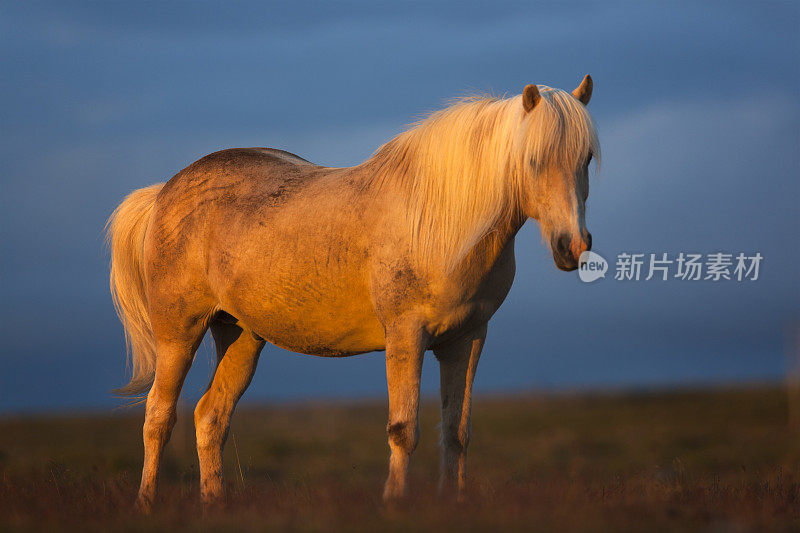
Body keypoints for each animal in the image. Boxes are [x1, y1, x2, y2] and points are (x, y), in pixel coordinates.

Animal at [109, 74, 600, 508]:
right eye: (534, 161)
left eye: (587, 160)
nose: (572, 246)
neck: (439, 224)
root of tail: (164, 191)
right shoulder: (405, 336)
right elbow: (403, 428)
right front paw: (394, 502)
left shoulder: (467, 339)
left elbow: (456, 432)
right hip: (179, 333)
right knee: (158, 416)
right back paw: (147, 503)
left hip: (241, 335)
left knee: (210, 416)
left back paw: (214, 504)